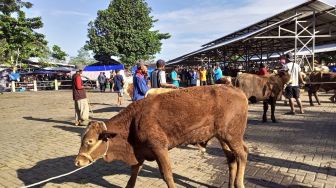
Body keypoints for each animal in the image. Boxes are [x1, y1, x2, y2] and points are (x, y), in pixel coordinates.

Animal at [76, 85, 249, 188]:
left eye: (90, 141)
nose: (78, 161)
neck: (134, 120)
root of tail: (236, 90)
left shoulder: (159, 148)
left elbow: (167, 175)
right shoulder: (139, 152)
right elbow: (134, 173)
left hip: (232, 136)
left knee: (242, 154)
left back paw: (239, 183)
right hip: (223, 137)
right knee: (232, 159)